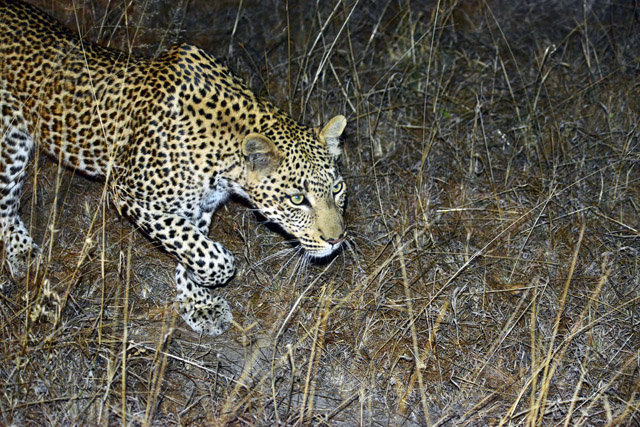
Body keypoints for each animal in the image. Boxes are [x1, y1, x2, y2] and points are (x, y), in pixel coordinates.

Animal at [0, 0, 347, 336]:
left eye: (337, 188)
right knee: (5, 203)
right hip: (10, 141)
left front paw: (198, 301)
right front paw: (208, 279)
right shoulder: (129, 193)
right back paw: (22, 254)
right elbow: (210, 255)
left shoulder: (200, 206)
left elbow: (194, 245)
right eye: (297, 199)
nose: (337, 239)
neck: (223, 156)